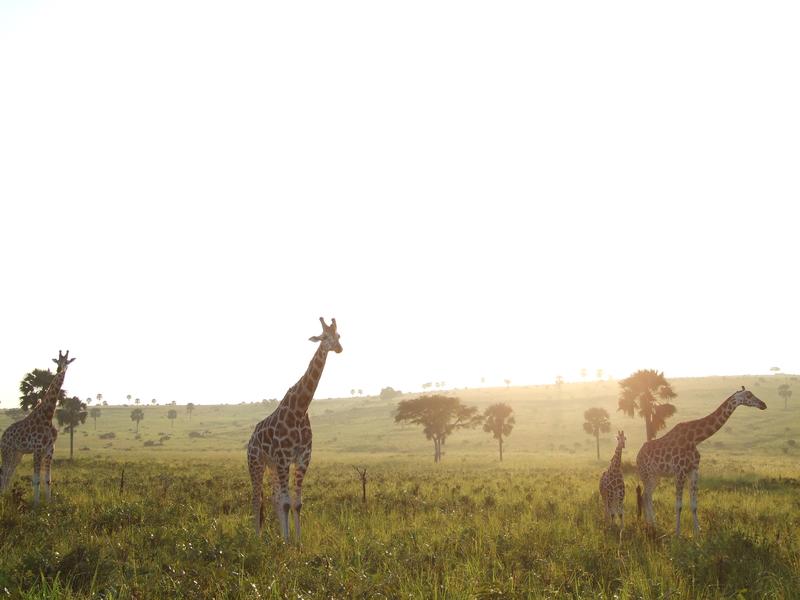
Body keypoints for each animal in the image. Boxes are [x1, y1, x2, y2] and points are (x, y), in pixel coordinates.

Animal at [0, 350, 75, 504]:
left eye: (67, 362)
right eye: (57, 361)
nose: (59, 369)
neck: (48, 416)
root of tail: (3, 436)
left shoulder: (50, 450)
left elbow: (48, 479)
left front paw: (49, 503)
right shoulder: (37, 449)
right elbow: (36, 479)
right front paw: (36, 504)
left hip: (18, 454)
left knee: (9, 473)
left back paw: (6, 496)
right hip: (7, 451)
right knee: (4, 473)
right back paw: (3, 498)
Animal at [247, 316, 340, 540]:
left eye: (339, 335)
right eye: (324, 336)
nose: (339, 348)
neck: (300, 409)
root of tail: (251, 438)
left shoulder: (303, 458)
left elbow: (296, 504)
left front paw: (296, 540)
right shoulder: (283, 458)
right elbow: (287, 504)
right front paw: (288, 541)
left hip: (271, 466)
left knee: (273, 498)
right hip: (256, 463)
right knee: (257, 499)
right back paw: (257, 537)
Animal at [636, 386, 764, 536]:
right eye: (749, 395)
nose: (763, 404)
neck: (695, 439)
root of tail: (638, 455)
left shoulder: (694, 470)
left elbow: (694, 505)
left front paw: (698, 533)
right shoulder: (679, 472)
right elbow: (678, 505)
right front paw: (677, 534)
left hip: (656, 476)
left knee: (646, 495)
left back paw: (651, 525)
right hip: (646, 474)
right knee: (646, 496)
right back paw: (651, 525)